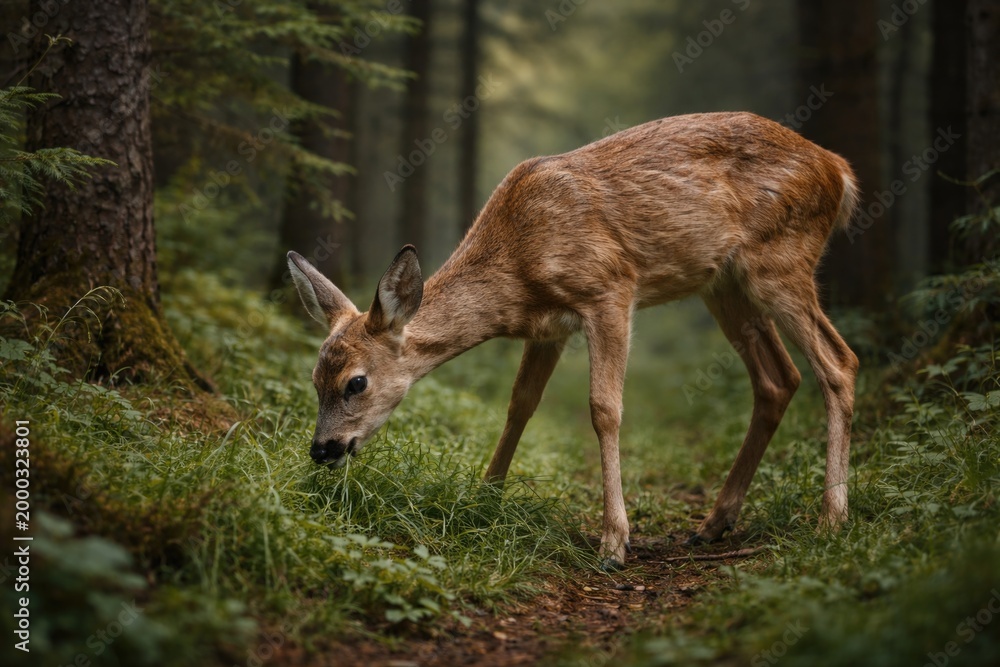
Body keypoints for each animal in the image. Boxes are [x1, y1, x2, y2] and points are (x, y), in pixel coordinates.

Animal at [288, 111, 860, 569]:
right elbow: (520, 404)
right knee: (779, 378)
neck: (519, 266)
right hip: (723, 284)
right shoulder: (548, 329)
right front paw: (485, 499)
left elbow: (604, 408)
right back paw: (714, 523)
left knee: (839, 362)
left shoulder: (609, 289)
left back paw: (831, 518)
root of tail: (838, 168)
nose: (322, 449)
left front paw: (614, 543)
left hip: (780, 259)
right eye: (314, 379)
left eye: (356, 383)